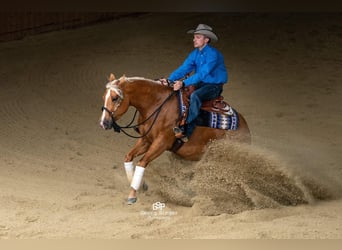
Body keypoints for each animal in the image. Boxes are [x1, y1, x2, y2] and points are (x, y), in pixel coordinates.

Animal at [99, 73, 251, 204]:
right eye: (103, 97)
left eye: (115, 98)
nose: (103, 123)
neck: (157, 105)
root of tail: (245, 127)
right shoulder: (146, 140)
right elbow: (128, 157)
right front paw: (139, 186)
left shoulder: (161, 143)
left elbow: (142, 163)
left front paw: (132, 194)